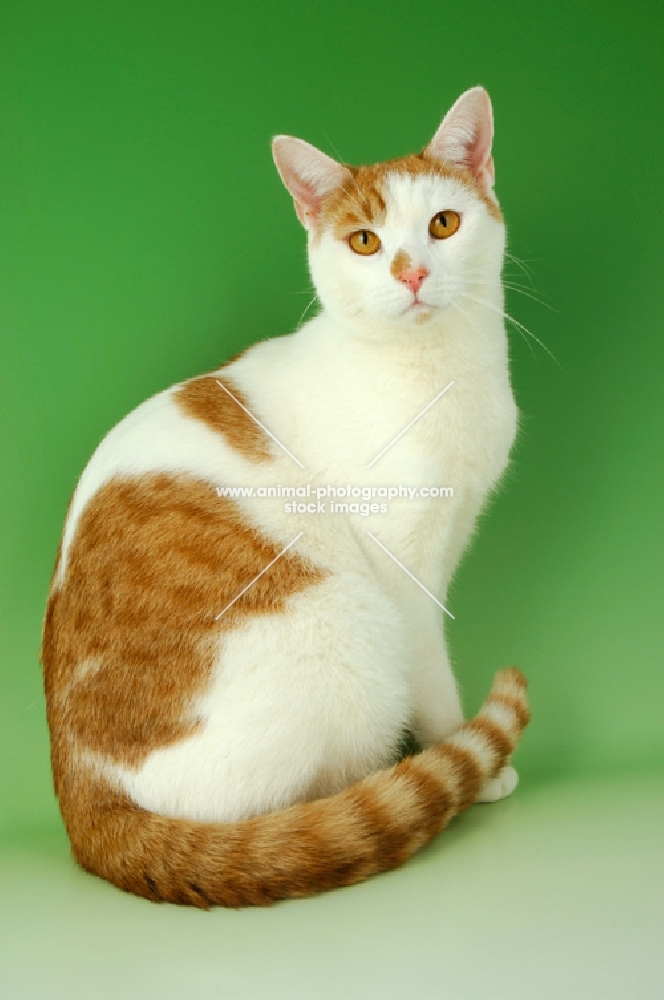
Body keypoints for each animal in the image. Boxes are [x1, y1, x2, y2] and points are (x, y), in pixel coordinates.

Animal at [41, 90, 528, 912]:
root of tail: (83, 806)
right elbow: (434, 675)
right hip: (352, 624)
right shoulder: (404, 575)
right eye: (365, 242)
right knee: (280, 821)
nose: (410, 273)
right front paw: (466, 753)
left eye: (443, 225)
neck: (440, 374)